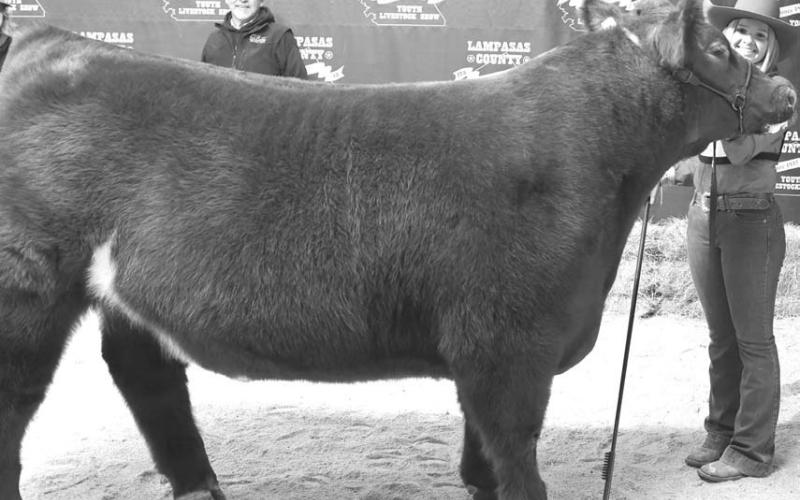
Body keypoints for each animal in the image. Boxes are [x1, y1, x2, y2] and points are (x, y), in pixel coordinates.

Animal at [0, 0, 796, 499]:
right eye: (721, 51)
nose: (785, 89)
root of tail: (49, 40)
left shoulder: (487, 353)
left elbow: (482, 460)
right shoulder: (508, 346)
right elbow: (515, 456)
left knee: (145, 375)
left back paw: (202, 486)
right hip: (26, 290)